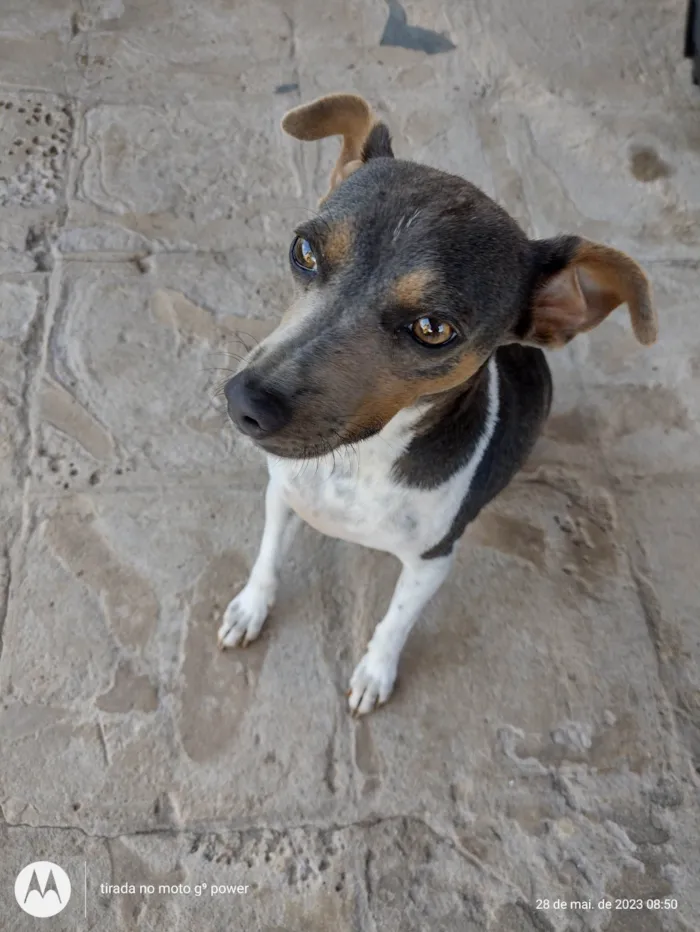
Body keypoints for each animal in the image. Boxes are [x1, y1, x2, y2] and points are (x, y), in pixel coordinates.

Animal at [217, 93, 656, 712]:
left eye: (433, 328)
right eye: (303, 251)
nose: (246, 401)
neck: (358, 464)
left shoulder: (431, 562)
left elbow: (396, 621)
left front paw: (375, 673)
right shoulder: (282, 494)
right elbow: (268, 557)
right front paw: (251, 608)